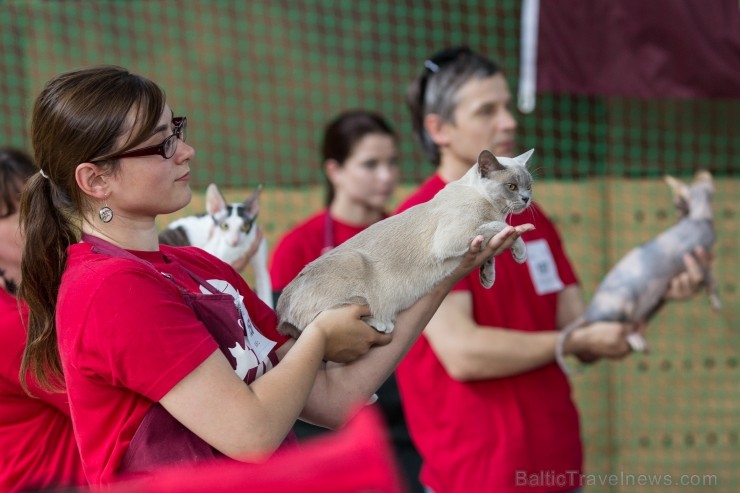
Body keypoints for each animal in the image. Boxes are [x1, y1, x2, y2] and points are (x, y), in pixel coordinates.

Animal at [274, 148, 536, 336]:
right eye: (511, 186)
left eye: (529, 186)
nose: (526, 198)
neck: (493, 208)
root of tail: (281, 309)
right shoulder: (454, 236)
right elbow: (501, 227)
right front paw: (520, 252)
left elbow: (490, 247)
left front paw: (487, 278)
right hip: (354, 264)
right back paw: (383, 324)